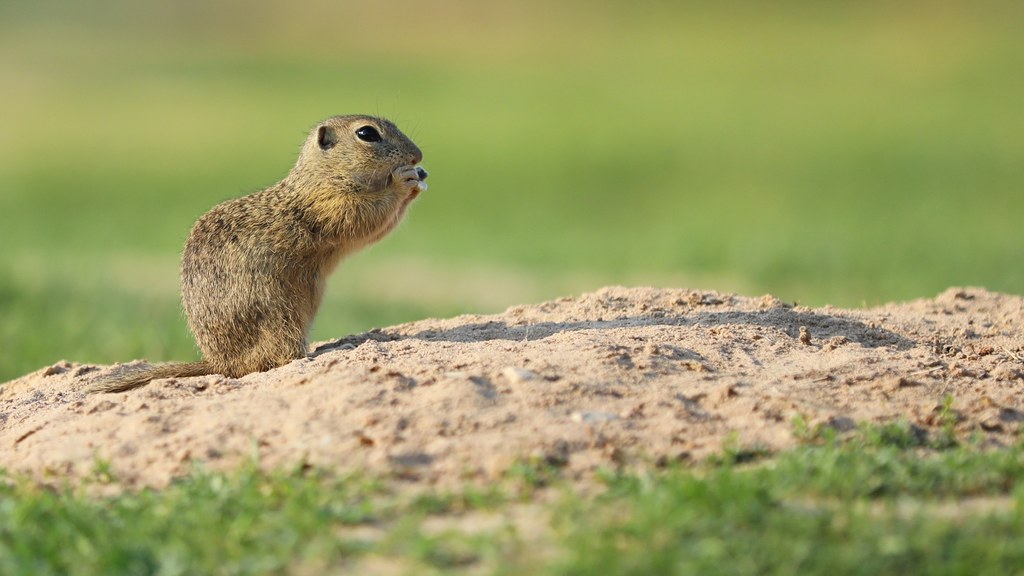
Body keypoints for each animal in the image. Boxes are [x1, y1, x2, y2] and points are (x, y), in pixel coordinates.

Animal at [86, 113, 425, 389]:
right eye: (367, 133)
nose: (418, 155)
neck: (319, 176)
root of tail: (220, 363)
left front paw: (417, 181)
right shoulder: (329, 204)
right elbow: (363, 217)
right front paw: (403, 181)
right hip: (282, 314)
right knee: (280, 358)